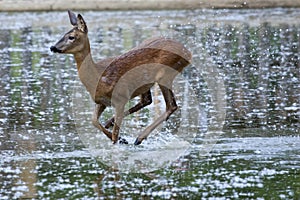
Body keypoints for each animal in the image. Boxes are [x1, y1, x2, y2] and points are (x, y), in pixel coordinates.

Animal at [50, 10, 192, 145]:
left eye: (71, 37)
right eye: (63, 34)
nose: (53, 47)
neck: (98, 77)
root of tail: (188, 52)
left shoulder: (120, 98)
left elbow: (114, 134)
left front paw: (119, 141)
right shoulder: (101, 101)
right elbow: (94, 121)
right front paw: (122, 138)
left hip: (165, 74)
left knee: (171, 106)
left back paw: (139, 138)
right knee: (147, 100)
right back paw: (113, 125)